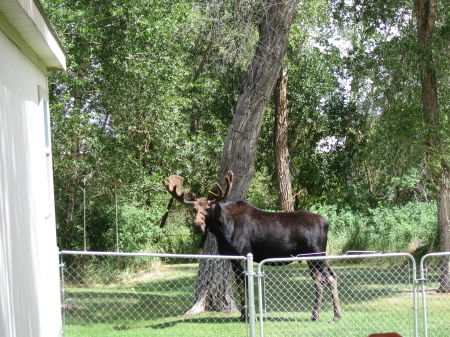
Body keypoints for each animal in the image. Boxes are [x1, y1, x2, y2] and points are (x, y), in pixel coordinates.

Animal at [163, 172, 342, 322]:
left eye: (208, 208)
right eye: (194, 209)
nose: (198, 226)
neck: (222, 229)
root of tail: (327, 223)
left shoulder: (244, 255)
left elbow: (248, 287)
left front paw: (253, 317)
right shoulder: (233, 260)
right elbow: (240, 288)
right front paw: (243, 316)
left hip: (318, 253)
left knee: (331, 277)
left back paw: (336, 315)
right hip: (309, 258)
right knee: (319, 281)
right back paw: (314, 315)